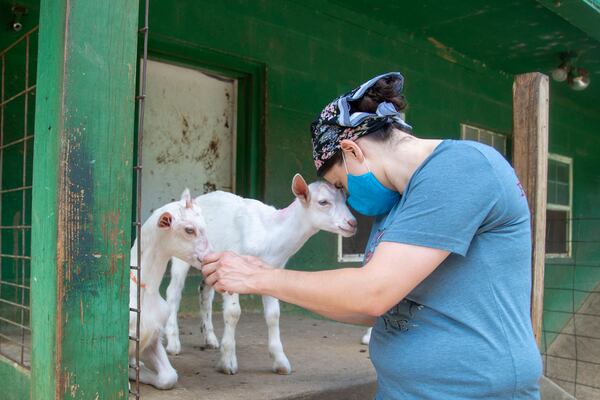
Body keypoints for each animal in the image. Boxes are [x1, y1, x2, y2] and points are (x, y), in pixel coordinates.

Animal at [127, 189, 210, 390]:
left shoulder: (153, 336)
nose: (209, 257)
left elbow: (169, 377)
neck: (143, 292)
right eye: (189, 230)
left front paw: (137, 372)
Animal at [163, 174, 356, 376]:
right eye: (323, 202)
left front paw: (280, 362)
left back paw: (210, 339)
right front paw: (228, 362)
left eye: (345, 199)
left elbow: (273, 315)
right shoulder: (231, 267)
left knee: (205, 291)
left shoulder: (268, 272)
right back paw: (173, 343)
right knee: (173, 292)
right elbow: (233, 313)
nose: (353, 223)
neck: (269, 233)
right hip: (181, 254)